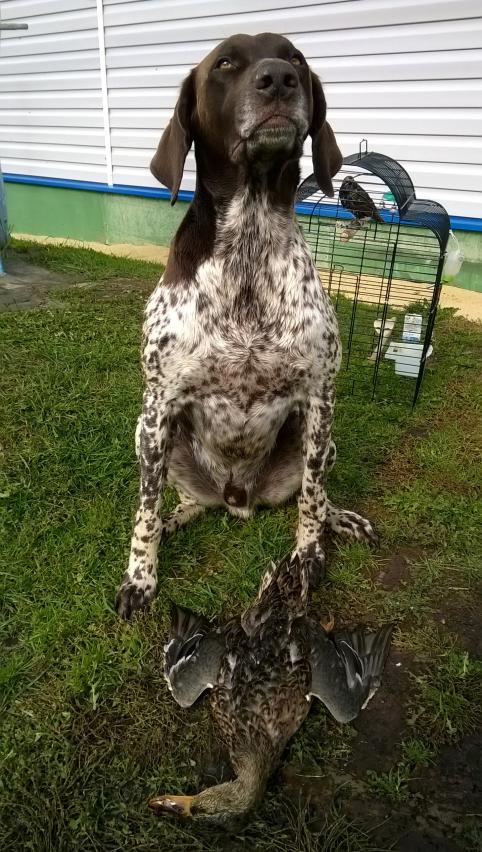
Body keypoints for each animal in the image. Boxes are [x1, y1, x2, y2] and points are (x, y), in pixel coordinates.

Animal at [115, 33, 376, 618]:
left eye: (297, 58)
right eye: (226, 63)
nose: (278, 78)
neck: (250, 241)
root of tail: (237, 499)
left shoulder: (319, 398)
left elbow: (311, 502)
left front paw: (308, 558)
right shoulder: (159, 403)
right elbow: (144, 511)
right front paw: (141, 576)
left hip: (323, 441)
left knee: (315, 492)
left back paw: (339, 520)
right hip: (149, 437)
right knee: (179, 501)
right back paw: (175, 520)